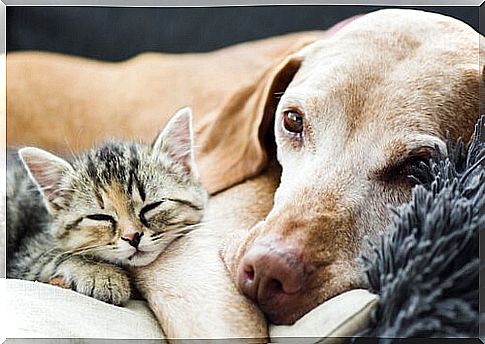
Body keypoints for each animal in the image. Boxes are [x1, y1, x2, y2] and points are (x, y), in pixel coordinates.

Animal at [6, 109, 206, 306]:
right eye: (99, 217)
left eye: (152, 206)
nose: (132, 237)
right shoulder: (25, 259)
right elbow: (60, 255)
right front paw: (103, 274)